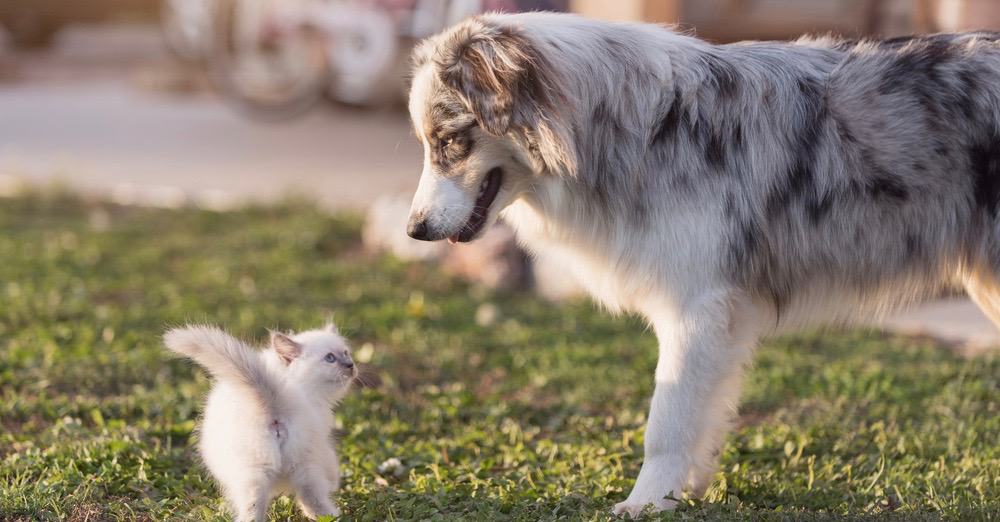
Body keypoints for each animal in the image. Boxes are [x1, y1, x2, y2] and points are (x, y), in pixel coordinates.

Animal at [400, 10, 1000, 512]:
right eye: (426, 143)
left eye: (449, 140)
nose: (415, 230)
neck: (634, 132)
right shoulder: (718, 319)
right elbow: (700, 418)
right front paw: (682, 493)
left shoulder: (696, 306)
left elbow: (666, 421)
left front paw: (646, 503)